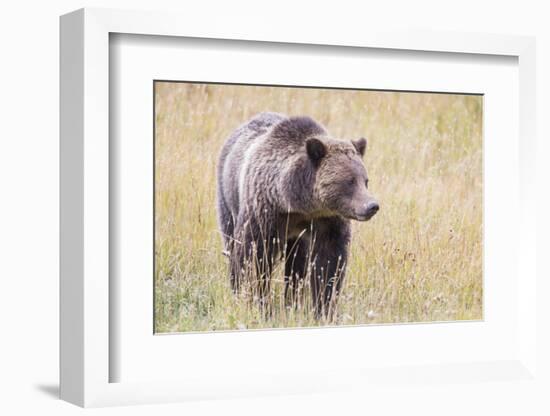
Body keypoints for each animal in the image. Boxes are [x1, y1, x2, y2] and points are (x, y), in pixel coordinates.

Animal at [217, 112, 380, 316]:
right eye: (349, 181)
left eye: (365, 180)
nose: (372, 206)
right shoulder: (264, 212)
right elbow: (252, 256)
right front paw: (257, 302)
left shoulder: (326, 221)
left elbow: (329, 264)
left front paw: (324, 308)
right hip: (228, 198)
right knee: (232, 242)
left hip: (297, 239)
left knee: (296, 266)